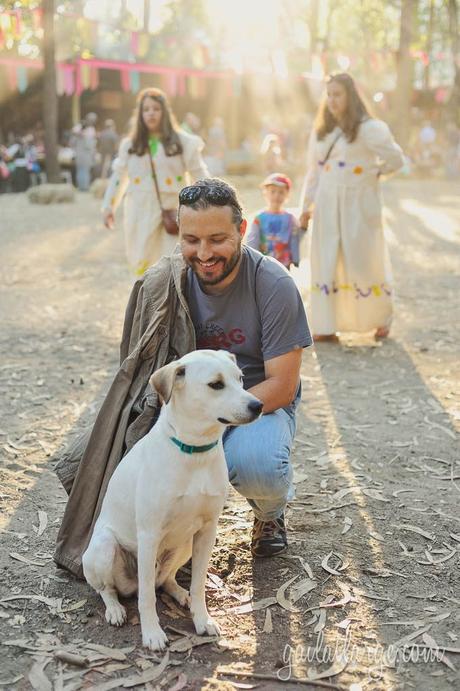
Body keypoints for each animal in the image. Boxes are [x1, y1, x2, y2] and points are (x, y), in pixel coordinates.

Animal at [82, 348, 262, 652]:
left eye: (240, 379)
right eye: (216, 384)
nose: (258, 405)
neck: (194, 452)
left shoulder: (207, 530)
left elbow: (199, 584)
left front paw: (202, 618)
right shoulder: (149, 533)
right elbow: (146, 598)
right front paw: (152, 633)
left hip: (184, 545)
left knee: (164, 580)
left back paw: (180, 594)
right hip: (104, 548)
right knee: (111, 589)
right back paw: (115, 609)